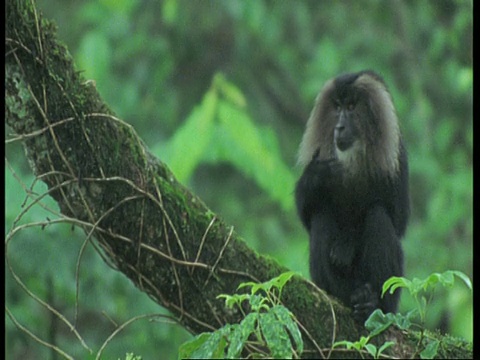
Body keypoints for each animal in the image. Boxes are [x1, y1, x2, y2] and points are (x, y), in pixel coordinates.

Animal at [296, 70, 408, 324]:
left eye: (351, 106)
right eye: (337, 107)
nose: (339, 127)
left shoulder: (397, 155)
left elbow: (398, 220)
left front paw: (348, 244)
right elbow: (306, 214)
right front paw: (318, 175)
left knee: (378, 215)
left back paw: (370, 303)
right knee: (321, 215)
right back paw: (347, 297)